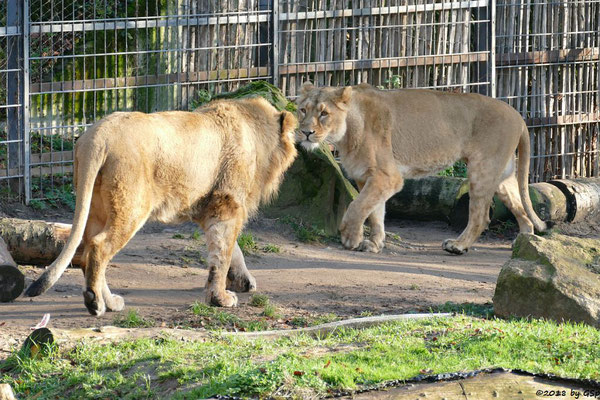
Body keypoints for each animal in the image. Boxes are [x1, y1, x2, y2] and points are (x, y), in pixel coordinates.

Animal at [25, 97, 298, 316]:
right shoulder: (226, 206)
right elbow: (223, 253)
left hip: (97, 206)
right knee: (99, 246)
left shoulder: (210, 208)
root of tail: (97, 136)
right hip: (132, 206)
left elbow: (232, 250)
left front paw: (241, 282)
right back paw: (95, 303)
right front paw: (221, 298)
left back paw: (111, 302)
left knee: (86, 249)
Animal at [298, 83, 548, 255]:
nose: (306, 132)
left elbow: (357, 207)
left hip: (482, 169)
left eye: (324, 113)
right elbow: (375, 212)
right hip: (503, 176)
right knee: (521, 209)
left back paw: (458, 245)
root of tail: (517, 115)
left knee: (481, 216)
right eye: (303, 110)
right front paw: (375, 243)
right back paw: (524, 243)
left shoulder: (388, 177)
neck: (347, 132)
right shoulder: (367, 176)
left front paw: (351, 238)